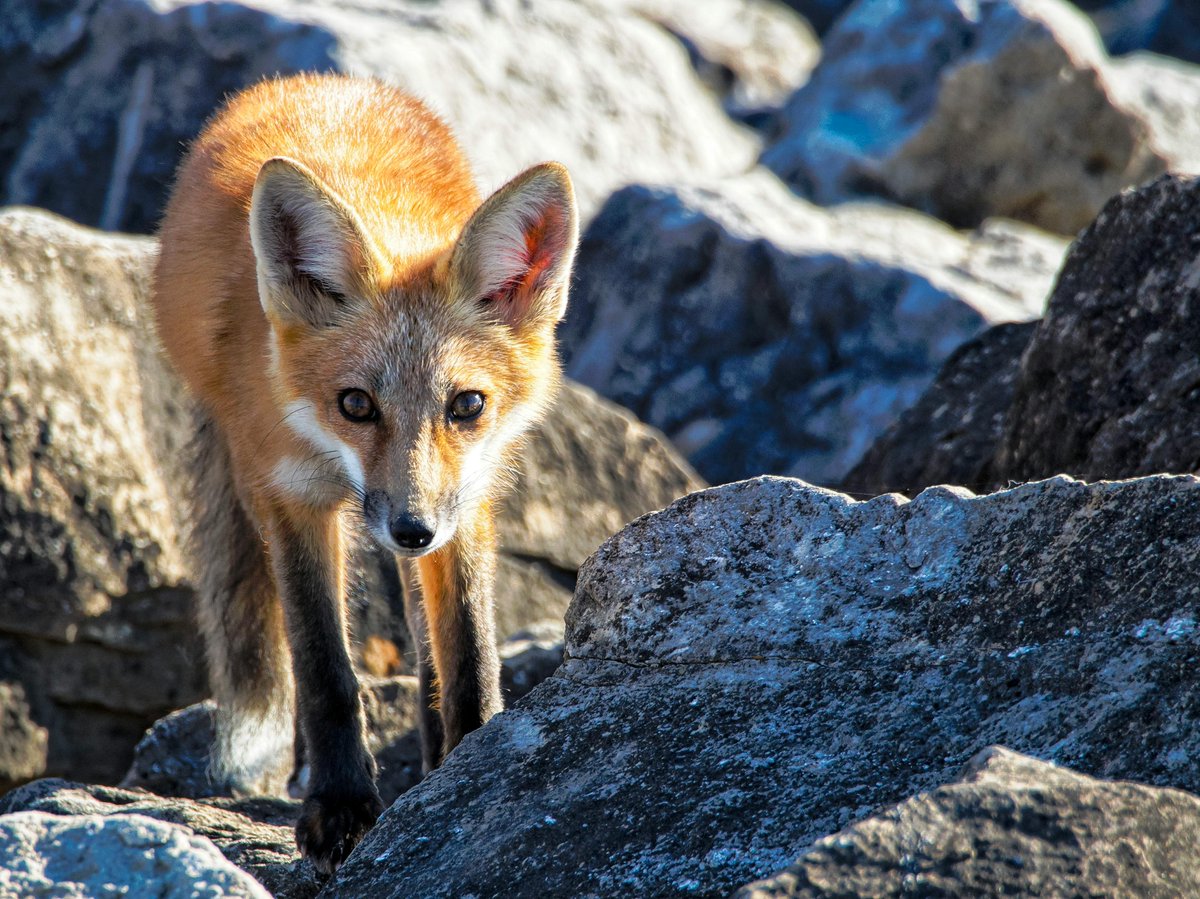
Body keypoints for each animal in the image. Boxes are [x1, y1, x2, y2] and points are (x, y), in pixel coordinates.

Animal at [152, 73, 578, 872]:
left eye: (467, 404)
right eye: (356, 403)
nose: (412, 529)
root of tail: (322, 81)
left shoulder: (466, 501)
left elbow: (468, 653)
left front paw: (470, 767)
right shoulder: (287, 495)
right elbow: (324, 669)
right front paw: (341, 806)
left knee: (426, 639)